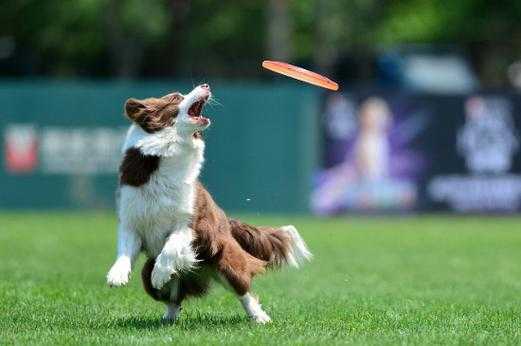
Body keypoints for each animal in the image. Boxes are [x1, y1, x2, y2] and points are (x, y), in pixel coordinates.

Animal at [103, 85, 310, 324]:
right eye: (176, 97)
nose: (206, 85)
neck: (167, 156)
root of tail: (228, 223)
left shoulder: (193, 223)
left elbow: (171, 247)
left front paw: (161, 272)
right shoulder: (132, 219)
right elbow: (125, 247)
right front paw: (117, 275)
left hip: (228, 261)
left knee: (244, 291)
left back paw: (259, 317)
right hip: (148, 273)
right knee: (173, 298)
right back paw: (168, 318)